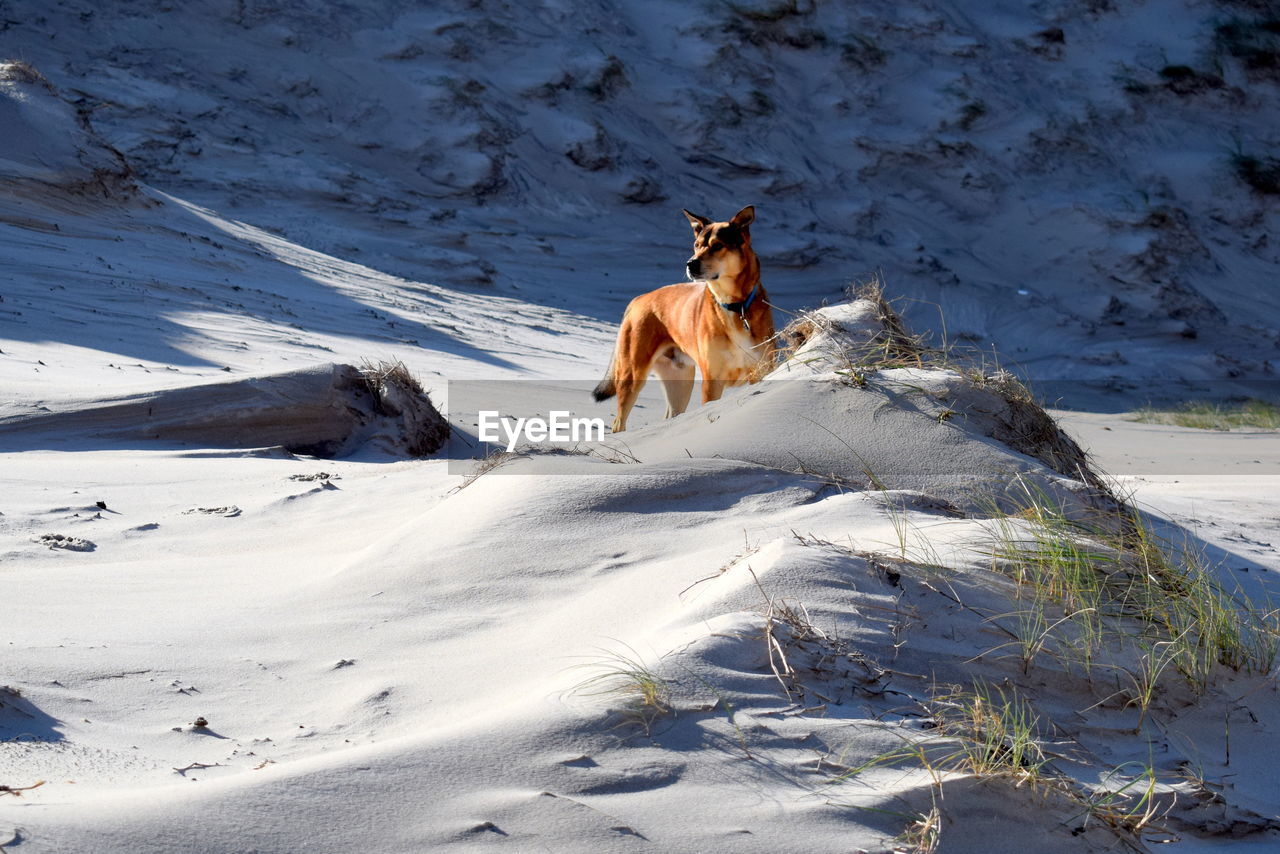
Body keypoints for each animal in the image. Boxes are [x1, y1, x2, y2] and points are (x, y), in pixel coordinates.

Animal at [591, 206, 778, 430]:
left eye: (717, 245)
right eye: (696, 246)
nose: (691, 264)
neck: (734, 306)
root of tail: (638, 299)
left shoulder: (761, 371)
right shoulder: (712, 380)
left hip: (679, 380)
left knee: (671, 416)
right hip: (632, 375)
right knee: (619, 422)